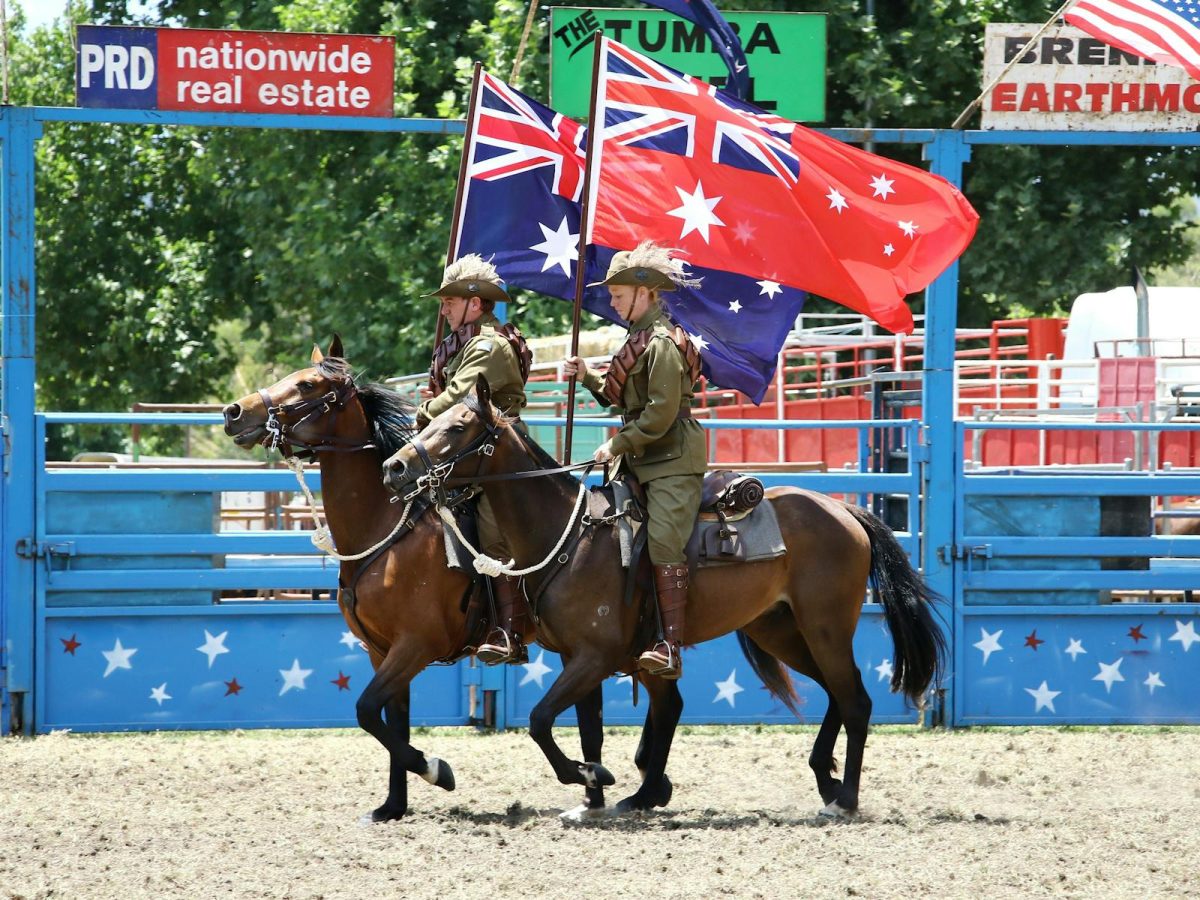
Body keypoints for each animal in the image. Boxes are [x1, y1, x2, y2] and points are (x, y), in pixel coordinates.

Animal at [221, 336, 617, 821]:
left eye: (308, 384)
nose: (234, 412)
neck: (385, 531)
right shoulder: (381, 651)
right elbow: (391, 722)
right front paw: (392, 806)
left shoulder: (414, 646)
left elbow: (367, 711)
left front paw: (436, 770)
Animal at [382, 376, 947, 816]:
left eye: (457, 426)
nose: (395, 467)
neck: (571, 535)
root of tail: (844, 510)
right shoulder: (577, 657)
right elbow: (587, 725)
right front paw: (599, 786)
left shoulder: (595, 656)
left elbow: (542, 721)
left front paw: (591, 777)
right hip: (782, 630)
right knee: (835, 694)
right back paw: (819, 781)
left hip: (825, 627)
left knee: (855, 700)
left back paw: (844, 797)